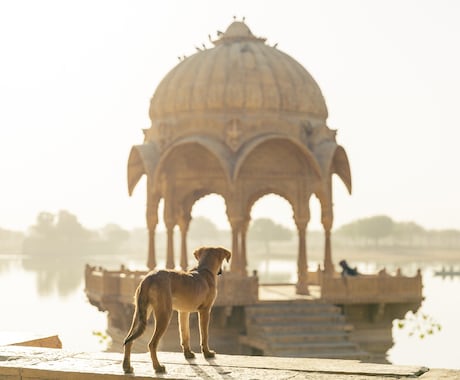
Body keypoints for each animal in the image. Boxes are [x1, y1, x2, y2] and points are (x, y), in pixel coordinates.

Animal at [122, 246, 232, 374]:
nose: (220, 271)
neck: (205, 270)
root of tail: (148, 279)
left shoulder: (183, 312)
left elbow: (185, 334)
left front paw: (188, 353)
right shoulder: (205, 311)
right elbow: (204, 335)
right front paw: (207, 353)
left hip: (139, 314)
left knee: (128, 340)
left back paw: (127, 367)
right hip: (164, 314)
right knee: (152, 344)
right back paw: (158, 367)